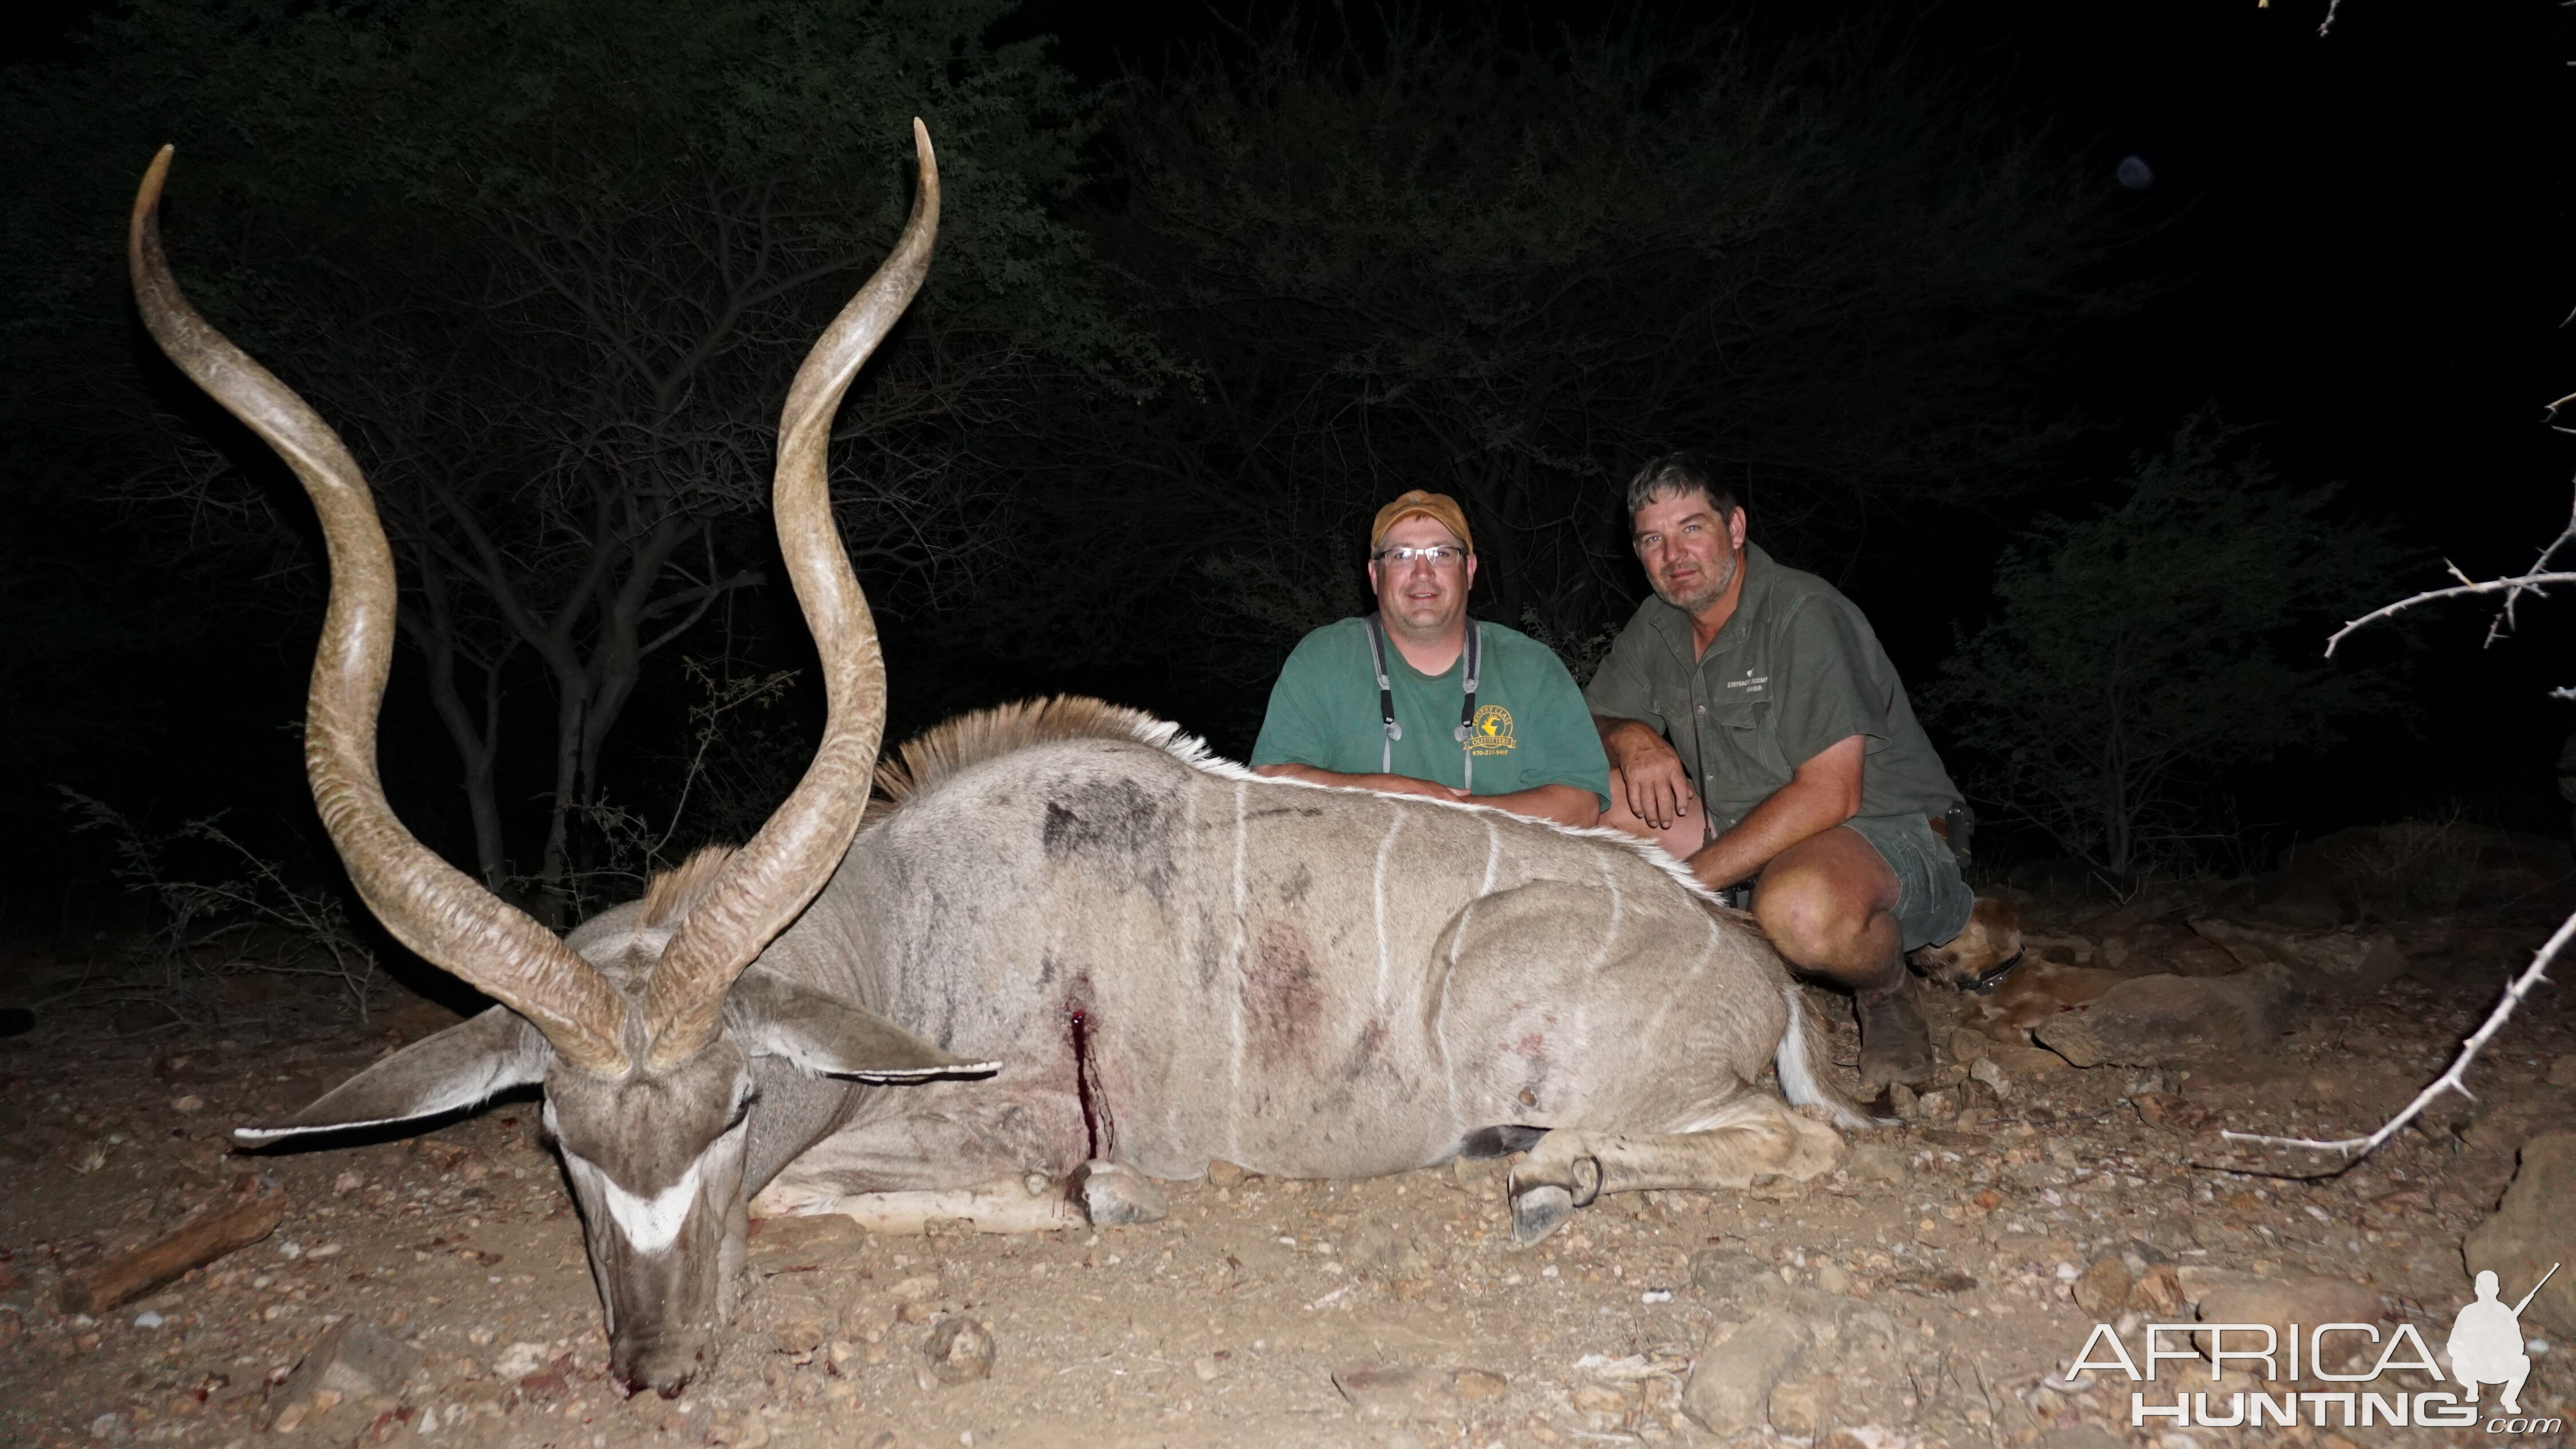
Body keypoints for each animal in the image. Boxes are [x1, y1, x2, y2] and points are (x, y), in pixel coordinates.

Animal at [131, 127, 1875, 1410]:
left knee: (1784, 1143)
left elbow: (852, 1188)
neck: (894, 920)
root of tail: (1758, 980)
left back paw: (1537, 1171)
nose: (657, 1362)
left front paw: (1100, 1202)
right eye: (558, 1136)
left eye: (738, 1097)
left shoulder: (1000, 1126)